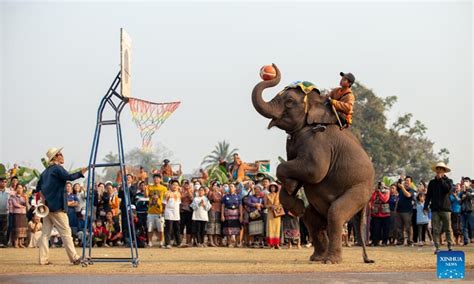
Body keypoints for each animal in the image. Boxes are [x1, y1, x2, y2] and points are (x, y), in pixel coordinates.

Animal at [252, 64, 374, 264]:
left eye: (289, 101)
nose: (270, 68)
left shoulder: (319, 142)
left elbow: (313, 171)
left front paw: (291, 187)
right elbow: (299, 173)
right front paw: (295, 197)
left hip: (360, 191)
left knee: (335, 214)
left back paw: (330, 260)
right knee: (311, 218)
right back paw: (317, 256)